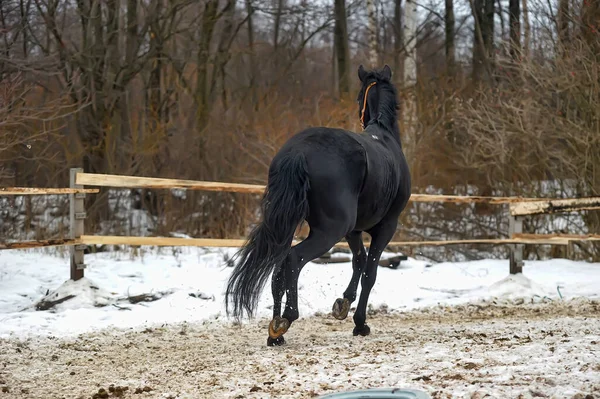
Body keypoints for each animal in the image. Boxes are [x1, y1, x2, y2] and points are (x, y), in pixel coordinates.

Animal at [226, 65, 412, 346]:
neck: (384, 136)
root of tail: (298, 152)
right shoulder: (385, 228)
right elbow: (370, 272)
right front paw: (360, 323)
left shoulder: (353, 231)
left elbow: (359, 261)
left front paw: (343, 304)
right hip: (328, 232)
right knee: (293, 259)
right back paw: (287, 318)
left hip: (288, 226)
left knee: (279, 265)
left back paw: (275, 331)